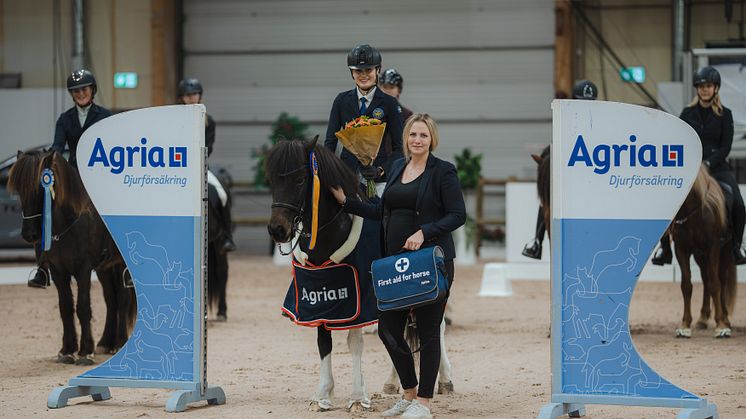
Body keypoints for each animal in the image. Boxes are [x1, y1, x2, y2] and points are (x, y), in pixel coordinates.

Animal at [6, 150, 135, 364]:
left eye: (40, 189)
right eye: (19, 191)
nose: (30, 234)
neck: (67, 224)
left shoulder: (83, 269)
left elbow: (82, 307)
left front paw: (85, 352)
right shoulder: (58, 270)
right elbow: (65, 307)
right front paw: (67, 350)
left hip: (120, 264)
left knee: (123, 298)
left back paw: (119, 343)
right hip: (104, 268)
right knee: (111, 298)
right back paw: (105, 343)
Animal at [664, 166, 736, 340]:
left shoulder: (714, 247)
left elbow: (716, 285)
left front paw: (721, 326)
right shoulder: (681, 249)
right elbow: (686, 285)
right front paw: (684, 326)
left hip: (724, 252)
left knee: (720, 280)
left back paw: (725, 319)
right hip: (700, 255)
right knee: (705, 278)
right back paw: (703, 319)